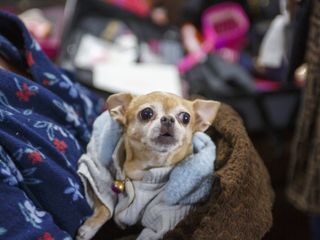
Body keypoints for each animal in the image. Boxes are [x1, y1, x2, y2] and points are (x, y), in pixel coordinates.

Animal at [77, 91, 220, 239]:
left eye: (186, 118)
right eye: (146, 113)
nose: (168, 119)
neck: (146, 169)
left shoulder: (163, 217)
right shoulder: (97, 178)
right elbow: (105, 206)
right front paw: (90, 227)